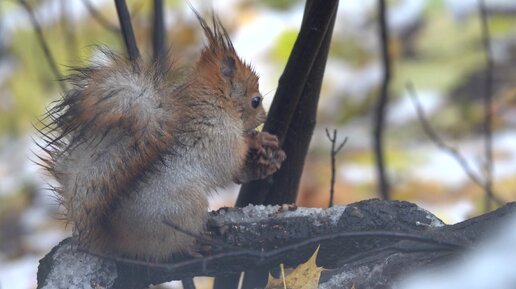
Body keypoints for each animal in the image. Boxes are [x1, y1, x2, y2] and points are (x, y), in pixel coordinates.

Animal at [39, 11, 286, 260]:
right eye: (255, 101)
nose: (263, 117)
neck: (214, 103)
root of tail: (115, 239)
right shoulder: (217, 135)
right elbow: (231, 160)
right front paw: (257, 139)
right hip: (185, 208)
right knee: (171, 247)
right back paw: (195, 245)